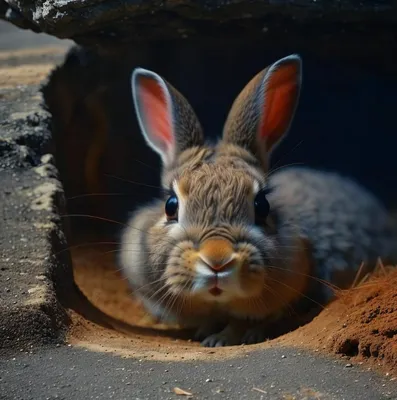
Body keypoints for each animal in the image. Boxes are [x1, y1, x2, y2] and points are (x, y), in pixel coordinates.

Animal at [118, 54, 396, 346]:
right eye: (170, 205)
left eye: (261, 206)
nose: (217, 261)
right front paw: (206, 333)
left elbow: (245, 322)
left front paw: (222, 339)